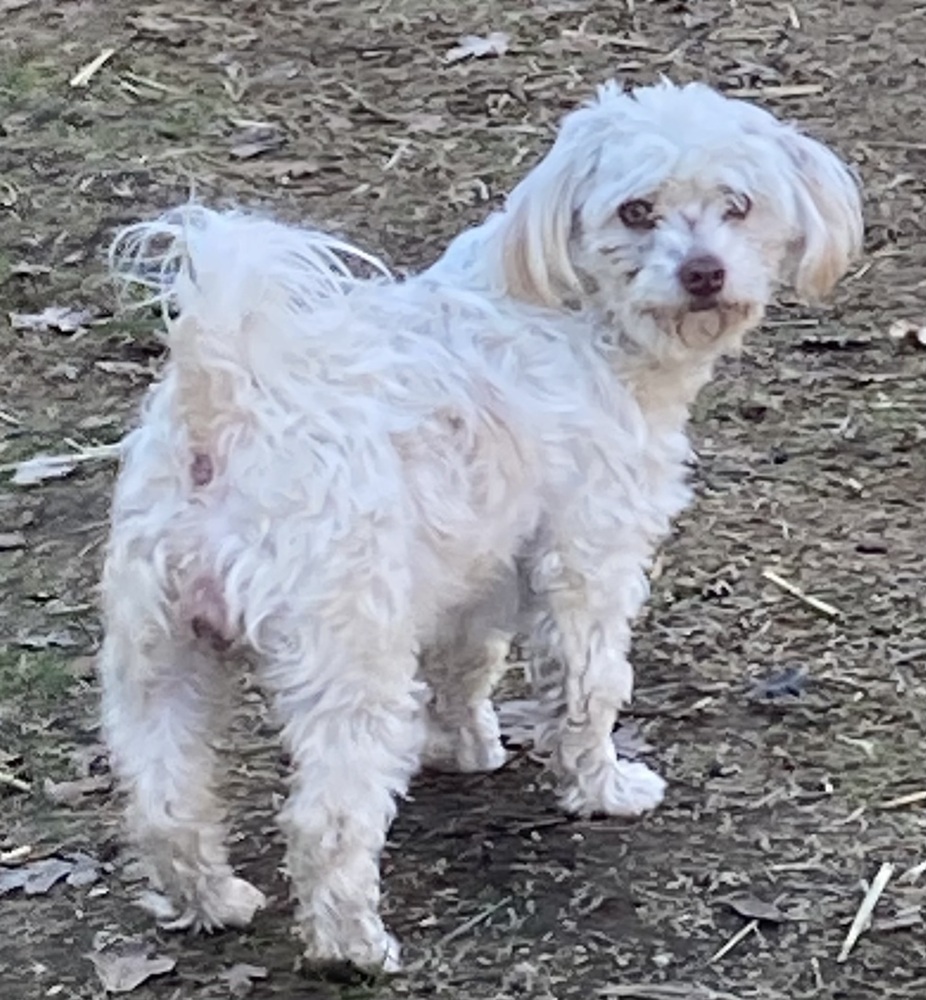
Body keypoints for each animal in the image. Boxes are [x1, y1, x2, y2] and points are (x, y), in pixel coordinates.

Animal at [98, 82, 868, 972]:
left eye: (738, 205)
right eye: (636, 211)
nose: (702, 272)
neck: (580, 312)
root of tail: (220, 405)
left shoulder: (475, 567)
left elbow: (466, 665)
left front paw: (463, 747)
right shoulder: (586, 561)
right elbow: (587, 687)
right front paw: (603, 788)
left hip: (159, 659)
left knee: (164, 803)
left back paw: (215, 902)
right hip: (347, 662)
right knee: (327, 820)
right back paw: (356, 946)